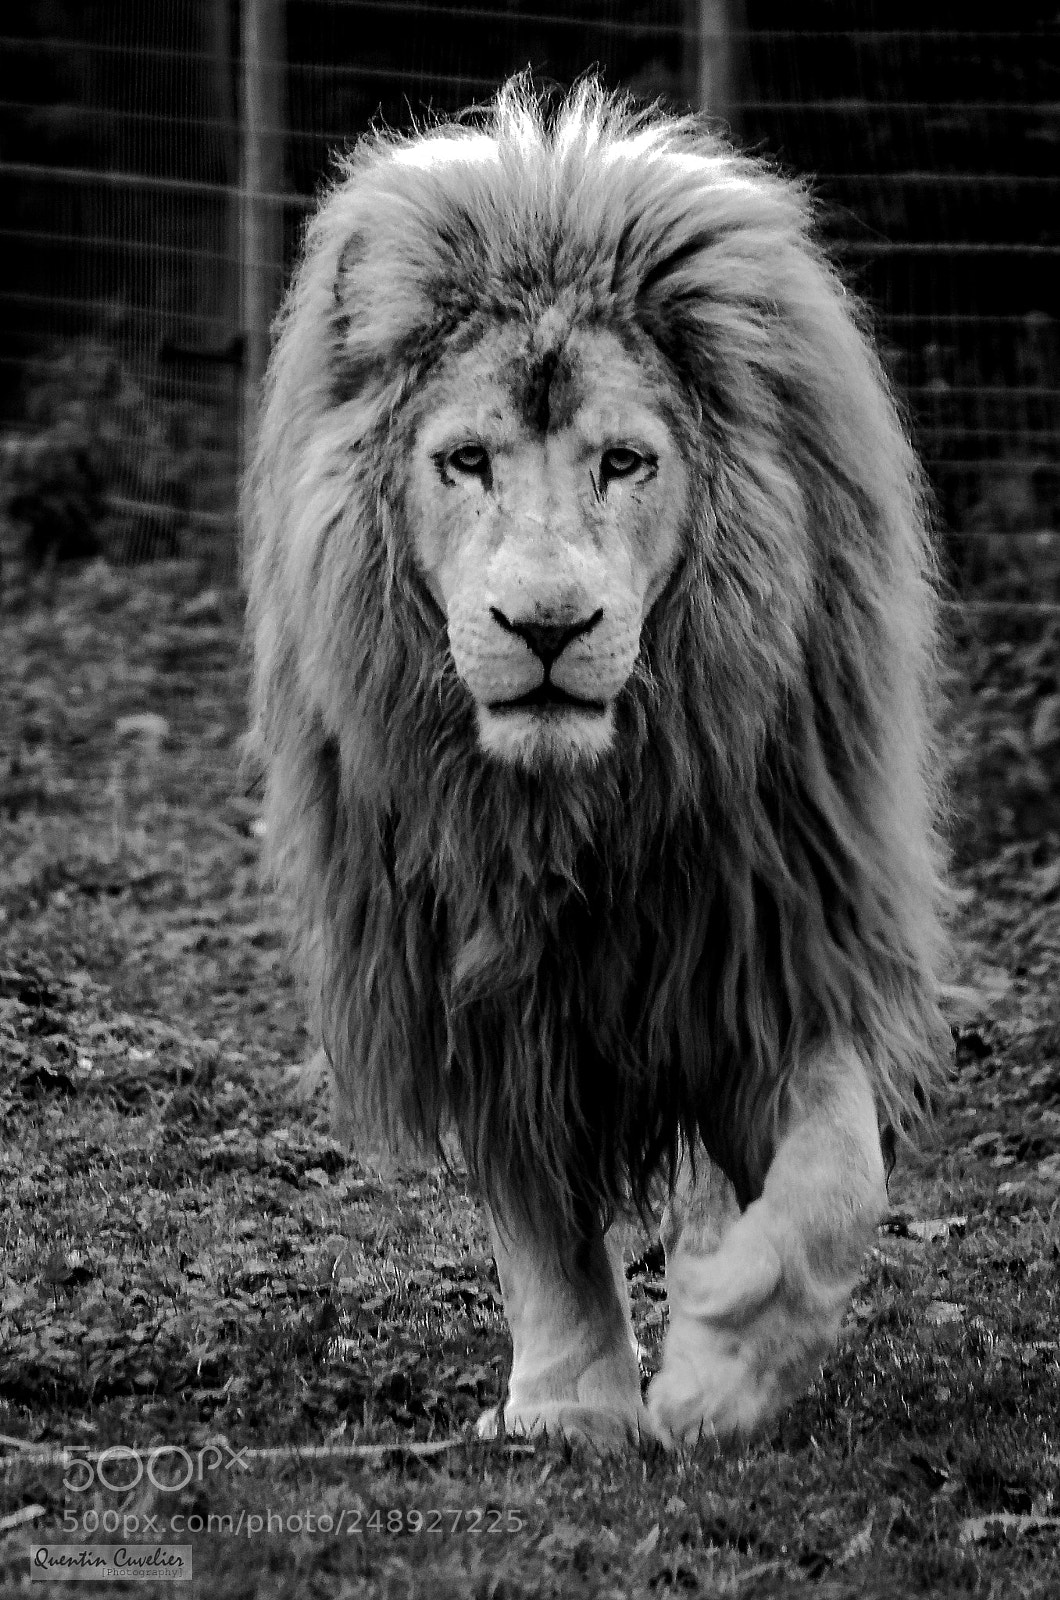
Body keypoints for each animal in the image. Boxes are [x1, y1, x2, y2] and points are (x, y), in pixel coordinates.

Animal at [244, 80, 950, 1449]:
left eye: (624, 462)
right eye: (465, 461)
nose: (547, 627)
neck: (575, 813)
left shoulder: (773, 941)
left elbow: (838, 1186)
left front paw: (725, 1358)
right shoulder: (485, 986)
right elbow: (539, 1229)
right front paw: (570, 1408)